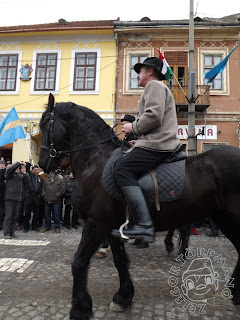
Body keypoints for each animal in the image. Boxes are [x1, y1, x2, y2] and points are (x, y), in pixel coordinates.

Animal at [38, 95, 240, 320]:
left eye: (45, 125)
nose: (42, 163)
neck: (96, 161)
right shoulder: (112, 227)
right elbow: (120, 260)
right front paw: (123, 297)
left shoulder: (95, 223)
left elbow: (79, 262)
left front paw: (80, 308)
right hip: (224, 218)